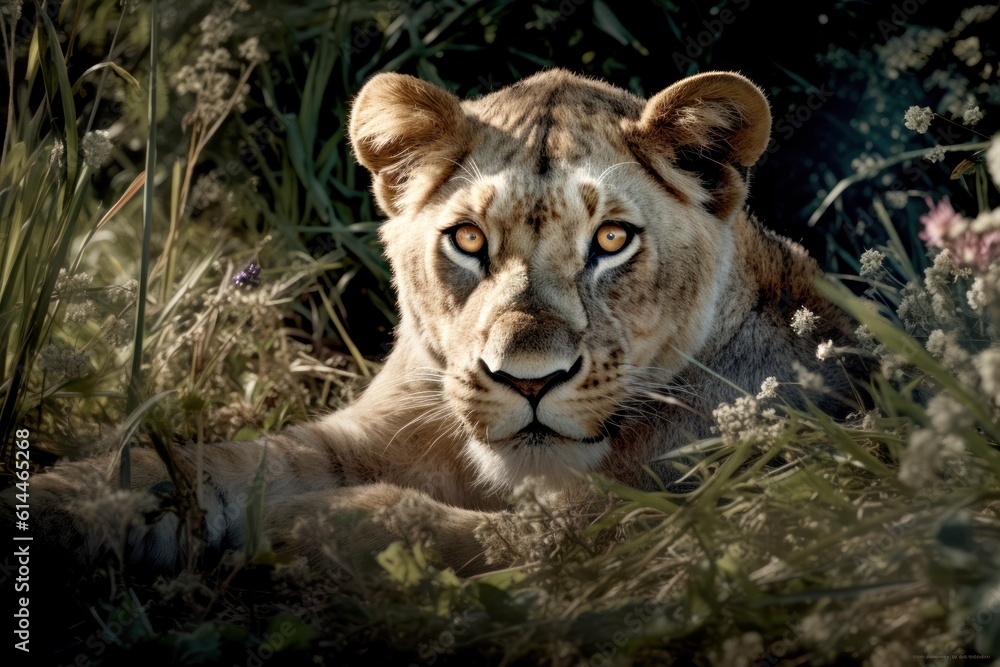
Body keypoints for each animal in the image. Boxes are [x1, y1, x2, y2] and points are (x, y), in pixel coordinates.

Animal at [15, 69, 860, 576]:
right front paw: (59, 505)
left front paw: (288, 527)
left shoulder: (657, 520)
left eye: (613, 239)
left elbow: (438, 526)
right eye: (469, 240)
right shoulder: (368, 430)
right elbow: (203, 463)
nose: (529, 381)